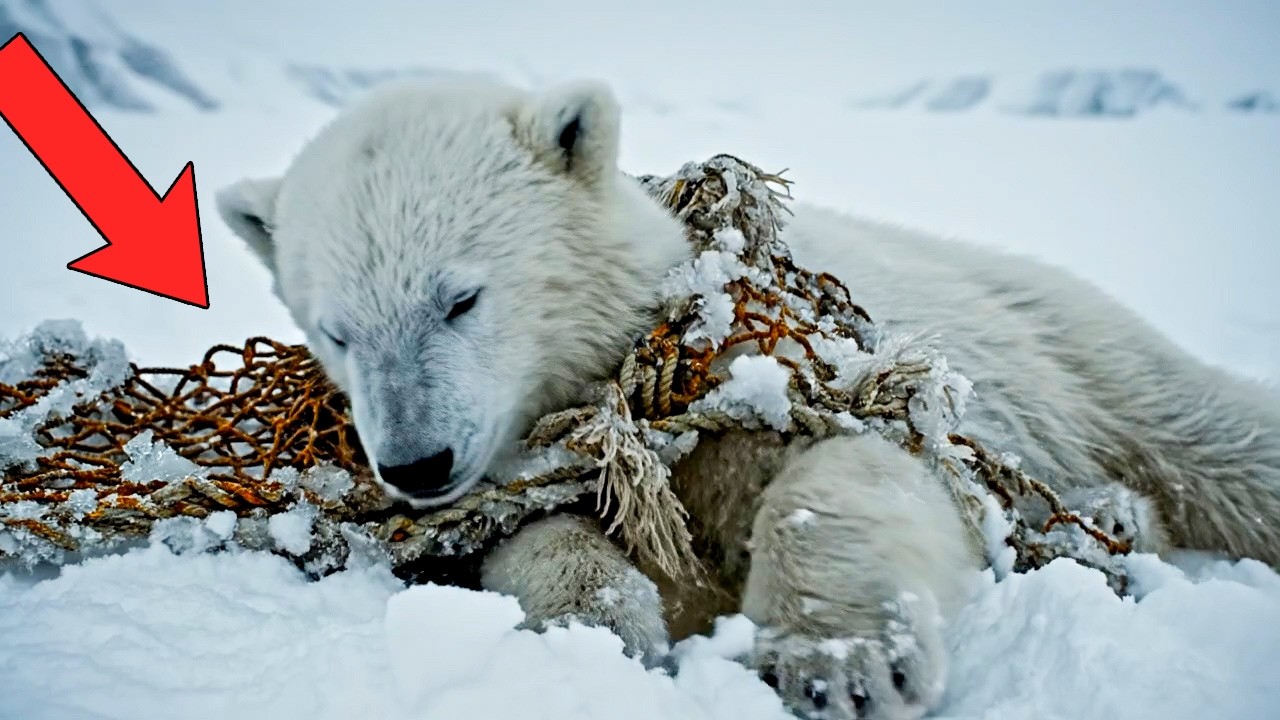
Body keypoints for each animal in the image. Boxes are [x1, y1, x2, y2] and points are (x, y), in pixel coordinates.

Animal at [215, 77, 1280, 720]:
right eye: (337, 330)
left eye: (462, 297)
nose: (416, 463)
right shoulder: (545, 461)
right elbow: (532, 532)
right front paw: (606, 625)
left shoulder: (779, 376)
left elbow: (860, 463)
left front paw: (844, 664)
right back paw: (1113, 520)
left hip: (1071, 348)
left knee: (1216, 438)